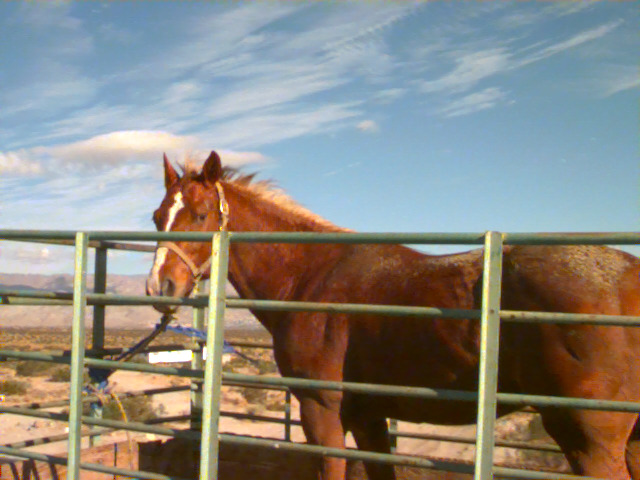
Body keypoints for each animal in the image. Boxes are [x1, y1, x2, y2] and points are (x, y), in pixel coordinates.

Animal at [146, 151, 640, 480]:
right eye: (156, 217)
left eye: (201, 214)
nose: (158, 288)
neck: (310, 275)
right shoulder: (368, 416)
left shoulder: (322, 409)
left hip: (589, 439)